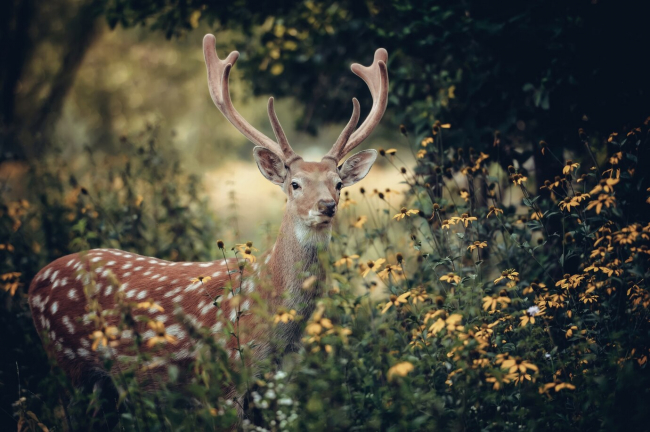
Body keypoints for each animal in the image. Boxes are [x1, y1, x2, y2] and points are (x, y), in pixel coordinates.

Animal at [26, 33, 384, 422]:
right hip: (66, 362)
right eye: (295, 184)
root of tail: (34, 282)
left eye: (338, 184)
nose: (327, 206)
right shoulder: (226, 377)